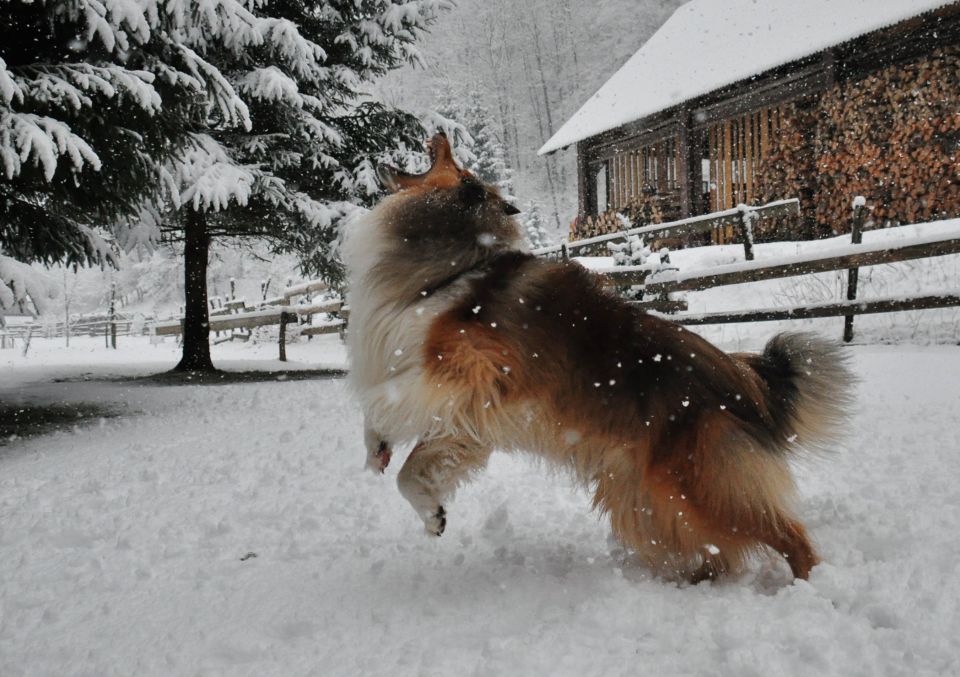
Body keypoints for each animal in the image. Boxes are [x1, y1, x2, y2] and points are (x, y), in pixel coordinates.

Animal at [344, 132, 856, 580]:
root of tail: (744, 380)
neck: (457, 268)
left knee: (787, 535)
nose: (439, 134)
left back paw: (809, 587)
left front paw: (386, 444)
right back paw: (695, 581)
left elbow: (380, 397)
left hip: (697, 485)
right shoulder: (463, 411)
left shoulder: (466, 370)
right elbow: (407, 468)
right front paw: (412, 491)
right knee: (720, 551)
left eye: (455, 165)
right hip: (649, 497)